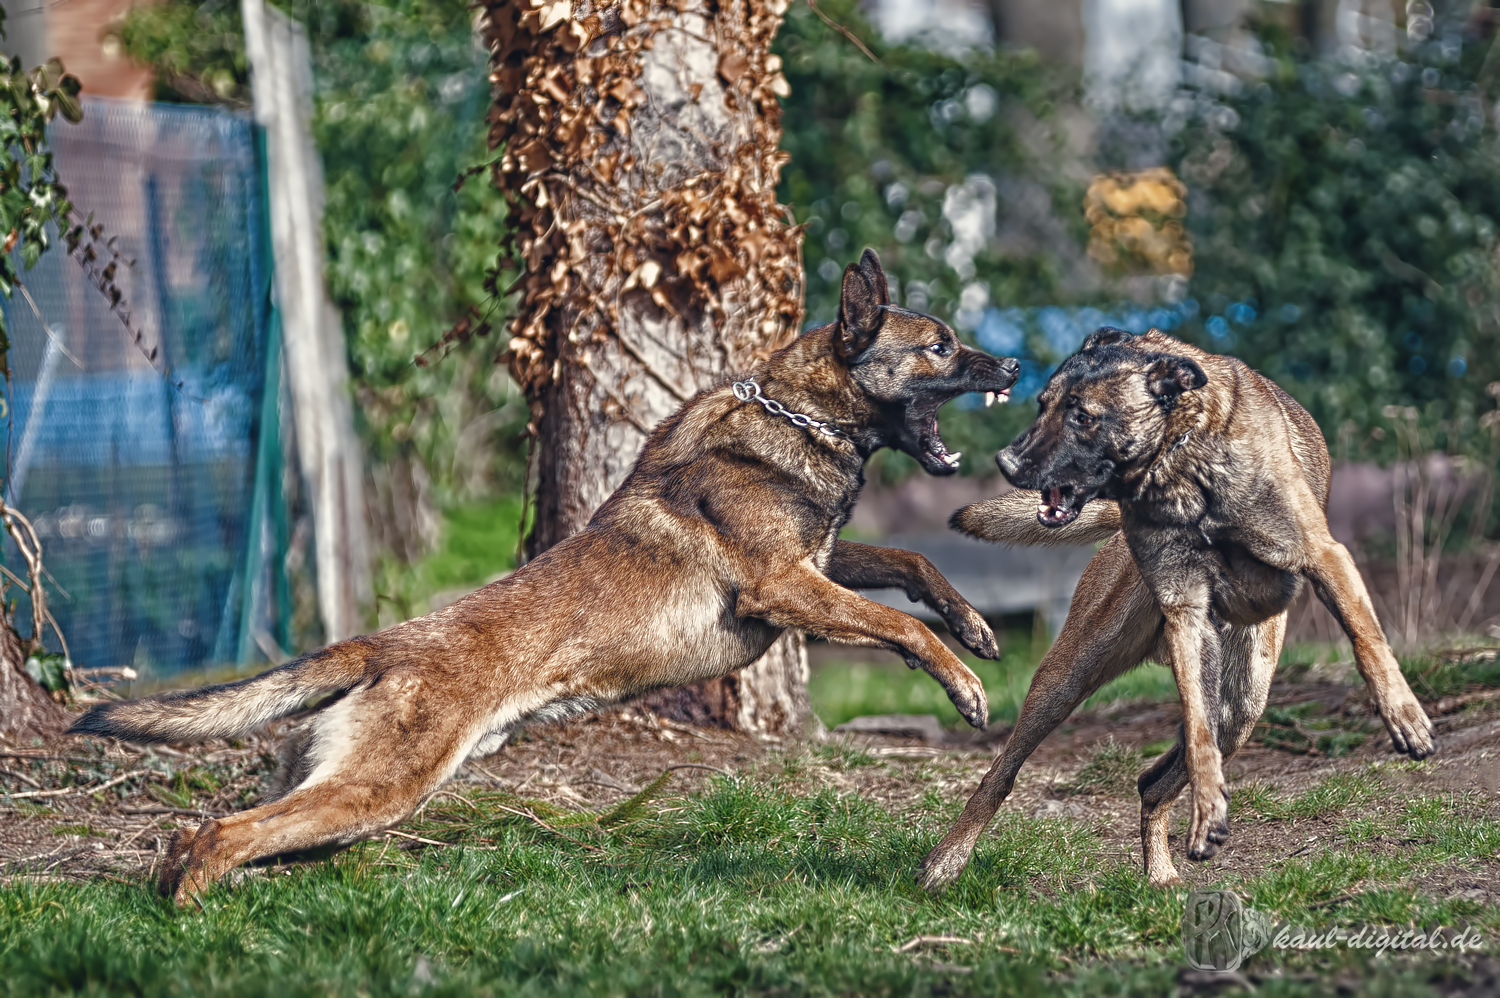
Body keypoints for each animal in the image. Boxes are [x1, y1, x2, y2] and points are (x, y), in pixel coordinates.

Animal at [76, 249, 1026, 900]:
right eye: (941, 347)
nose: (1015, 365)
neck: (800, 416)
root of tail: (380, 646)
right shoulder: (786, 586)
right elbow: (899, 621)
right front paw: (965, 685)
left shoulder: (819, 565)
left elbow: (912, 562)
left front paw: (974, 627)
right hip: (380, 787)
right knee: (220, 834)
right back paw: (194, 912)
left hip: (352, 796)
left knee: (220, 835)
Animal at [918, 325, 1434, 888]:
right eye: (1042, 405)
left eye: (1084, 416)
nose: (1006, 463)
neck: (1176, 462)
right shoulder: (1186, 612)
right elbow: (1197, 731)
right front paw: (1208, 807)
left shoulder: (1324, 556)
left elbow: (1366, 636)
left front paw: (1403, 714)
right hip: (1069, 676)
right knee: (1003, 773)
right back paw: (947, 860)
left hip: (1242, 703)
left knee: (1153, 780)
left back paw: (1159, 872)